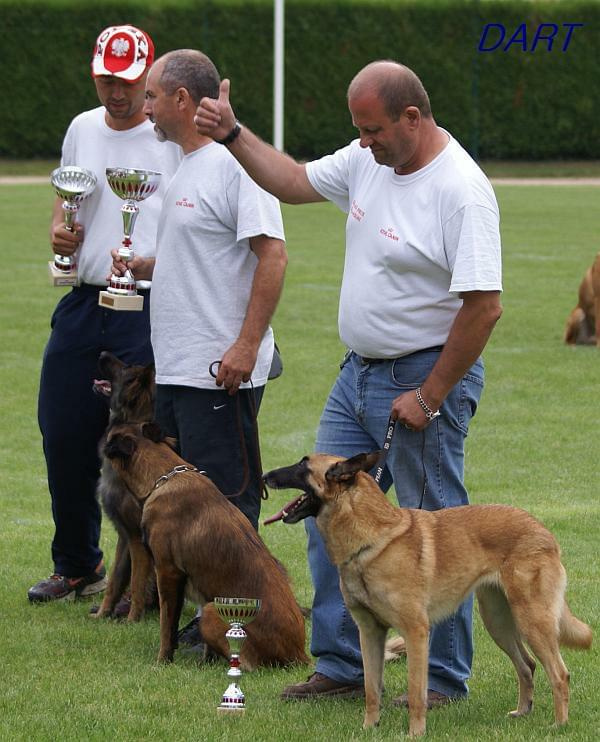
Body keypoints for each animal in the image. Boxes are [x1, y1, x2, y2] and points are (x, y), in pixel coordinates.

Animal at [102, 422, 308, 672]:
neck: (164, 477)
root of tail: (300, 654)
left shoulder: (167, 572)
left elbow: (166, 625)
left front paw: (163, 660)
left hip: (211, 611)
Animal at [264, 454, 592, 740]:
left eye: (302, 466)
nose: (265, 476)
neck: (371, 542)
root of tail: (544, 531)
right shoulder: (370, 633)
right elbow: (371, 689)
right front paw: (369, 728)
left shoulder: (416, 633)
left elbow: (415, 692)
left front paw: (415, 733)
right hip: (499, 621)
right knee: (527, 665)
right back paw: (522, 712)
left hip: (532, 621)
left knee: (559, 674)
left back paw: (559, 725)